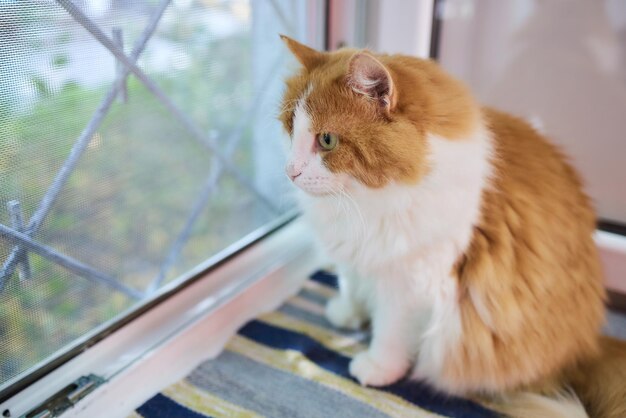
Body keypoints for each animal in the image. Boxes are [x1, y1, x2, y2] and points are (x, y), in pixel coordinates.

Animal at [276, 36, 624, 418]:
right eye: (291, 127)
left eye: (326, 140)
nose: (290, 171)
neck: (367, 203)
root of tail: (591, 346)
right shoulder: (358, 256)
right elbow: (351, 283)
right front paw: (347, 313)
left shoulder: (412, 281)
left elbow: (391, 331)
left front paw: (377, 368)